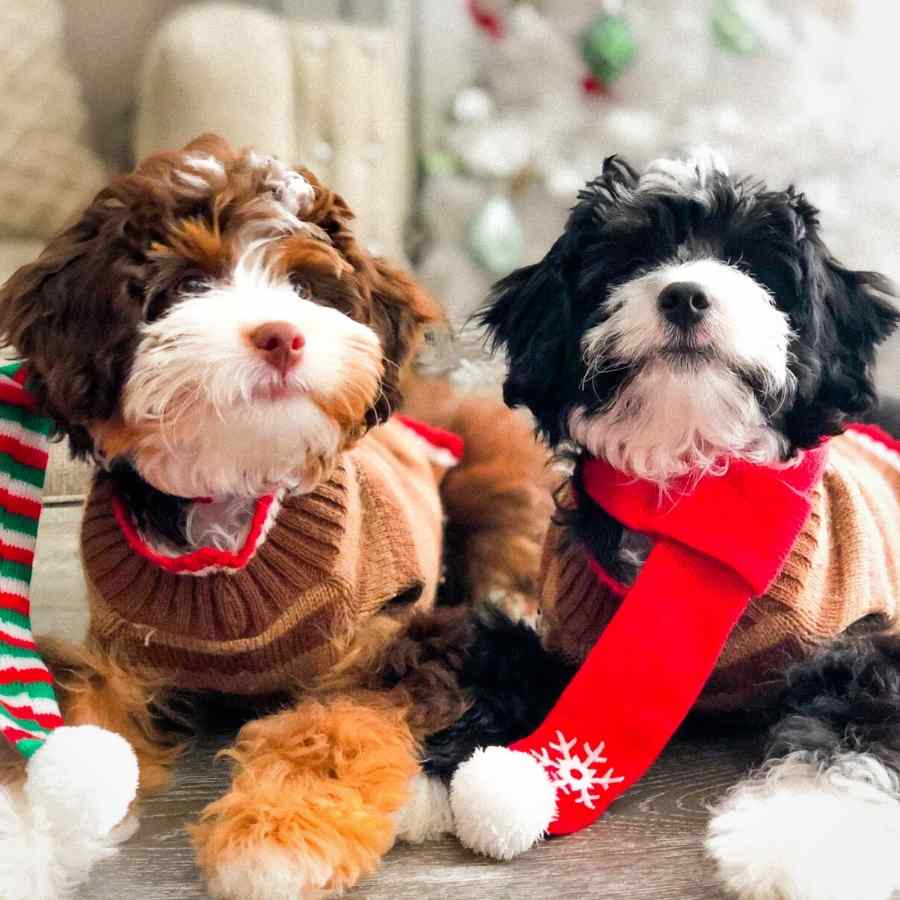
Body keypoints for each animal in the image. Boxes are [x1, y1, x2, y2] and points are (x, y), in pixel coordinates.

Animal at [426, 151, 900, 896]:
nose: (684, 296)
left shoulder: (869, 644)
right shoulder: (561, 636)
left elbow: (849, 731)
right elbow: (508, 666)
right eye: (633, 257)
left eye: (750, 262)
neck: (686, 490)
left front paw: (800, 843)